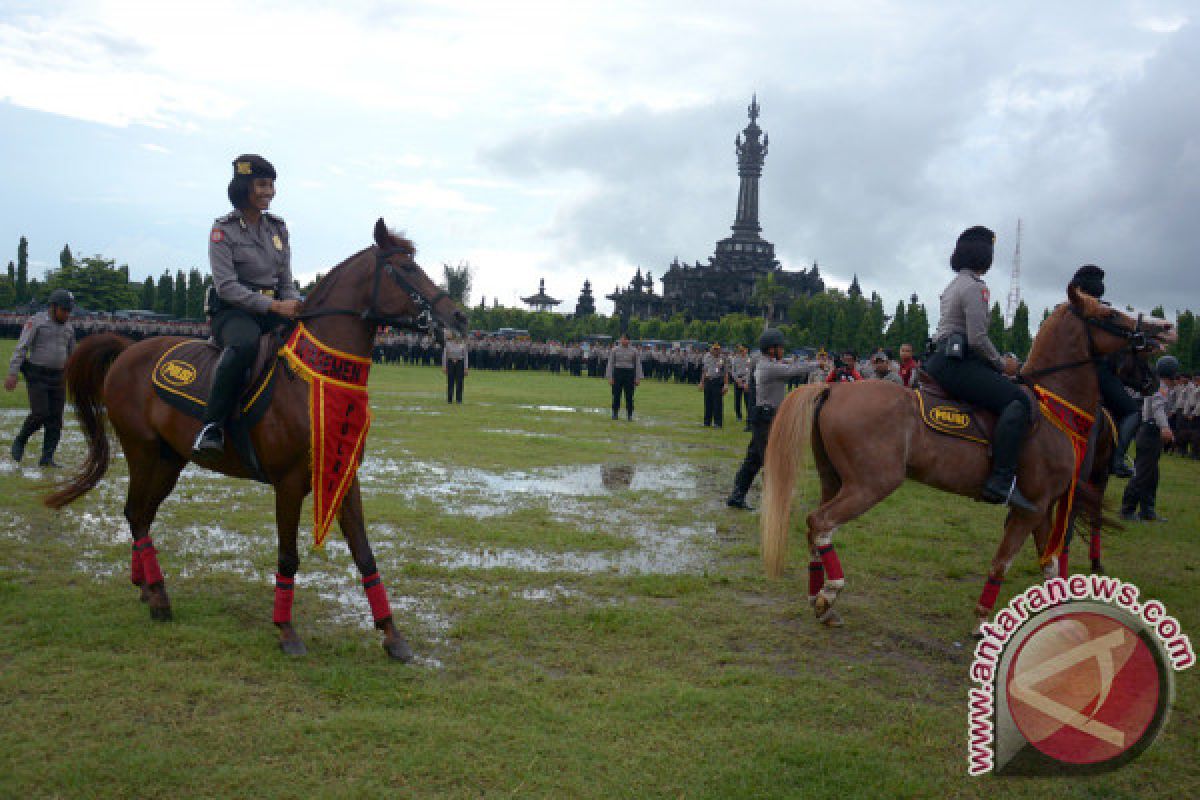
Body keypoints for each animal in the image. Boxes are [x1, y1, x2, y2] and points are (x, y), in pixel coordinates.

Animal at [42, 217, 465, 657]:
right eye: (406, 268)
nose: (459, 316)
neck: (313, 377)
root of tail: (128, 350)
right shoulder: (289, 483)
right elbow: (288, 557)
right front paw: (286, 630)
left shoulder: (343, 475)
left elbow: (365, 554)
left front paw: (392, 635)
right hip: (142, 452)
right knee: (137, 515)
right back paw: (158, 597)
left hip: (169, 460)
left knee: (139, 514)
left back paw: (145, 586)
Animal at [758, 287, 1171, 633]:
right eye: (1110, 314)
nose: (1162, 333)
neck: (1055, 408)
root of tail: (833, 387)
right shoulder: (1031, 508)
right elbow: (1002, 561)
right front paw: (983, 620)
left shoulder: (1043, 508)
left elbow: (1050, 566)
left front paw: (1064, 619)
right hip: (869, 485)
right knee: (821, 523)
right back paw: (831, 591)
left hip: (834, 479)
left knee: (814, 527)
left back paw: (820, 599)